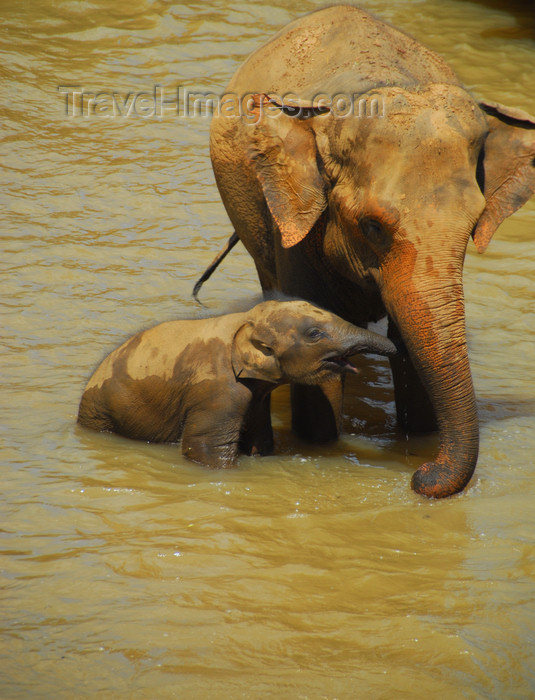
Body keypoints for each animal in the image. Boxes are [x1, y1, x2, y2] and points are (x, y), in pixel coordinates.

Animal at [79, 300, 398, 468]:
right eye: (315, 334)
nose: (397, 345)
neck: (245, 319)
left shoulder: (256, 393)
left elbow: (260, 441)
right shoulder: (218, 391)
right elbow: (206, 450)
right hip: (101, 413)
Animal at [207, 5, 535, 498]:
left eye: (472, 226)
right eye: (372, 227)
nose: (421, 477)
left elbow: (414, 354)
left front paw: (418, 443)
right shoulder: (297, 222)